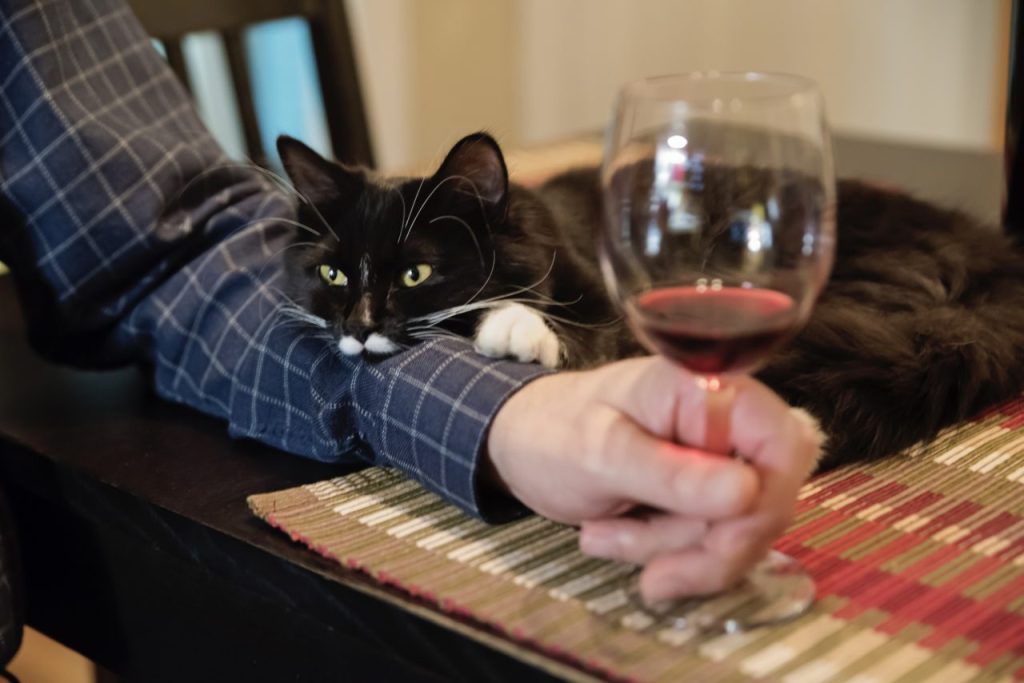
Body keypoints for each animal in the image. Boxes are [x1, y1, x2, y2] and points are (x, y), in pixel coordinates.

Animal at [276, 132, 1024, 471]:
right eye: (333, 274)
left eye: (416, 274)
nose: (360, 326)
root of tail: (997, 261)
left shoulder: (611, 310)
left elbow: (568, 334)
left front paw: (514, 328)